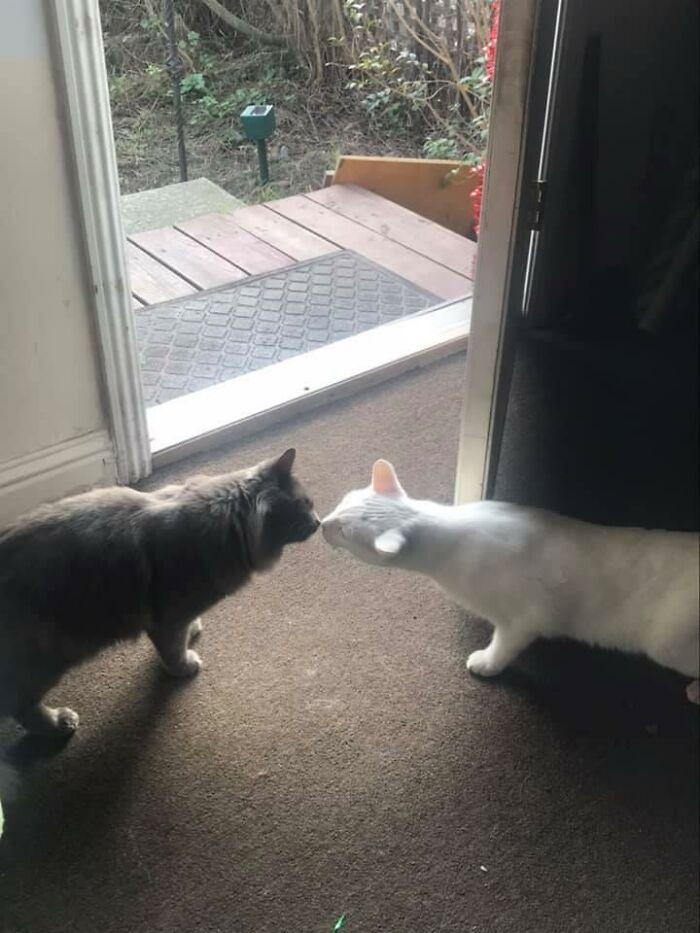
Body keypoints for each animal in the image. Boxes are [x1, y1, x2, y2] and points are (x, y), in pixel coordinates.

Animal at [0, 448, 319, 736]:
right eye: (306, 504)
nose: (317, 521)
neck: (227, 523)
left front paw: (194, 631)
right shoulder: (168, 619)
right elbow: (173, 651)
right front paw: (185, 665)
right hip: (45, 658)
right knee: (22, 705)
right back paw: (58, 723)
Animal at [321, 459, 700, 703]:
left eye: (344, 531)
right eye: (342, 504)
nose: (322, 523)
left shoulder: (522, 621)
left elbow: (503, 647)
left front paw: (486, 664)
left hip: (667, 645)